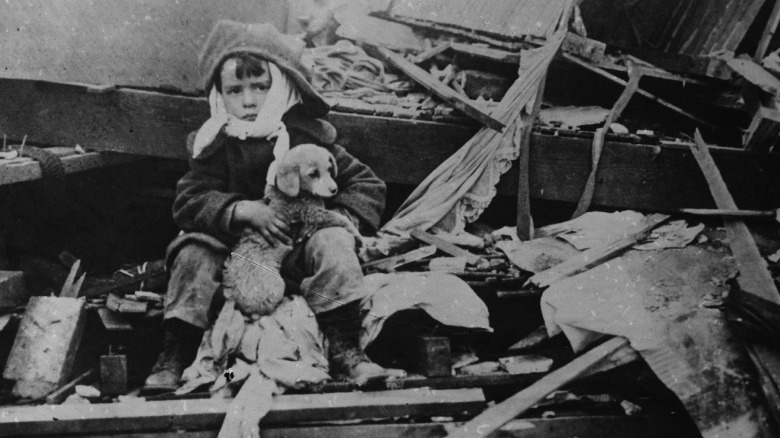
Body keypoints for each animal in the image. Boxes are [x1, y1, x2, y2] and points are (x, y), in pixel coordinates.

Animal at [224, 144, 362, 318]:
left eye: (330, 169)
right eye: (313, 174)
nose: (334, 189)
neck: (298, 195)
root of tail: (237, 303)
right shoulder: (313, 214)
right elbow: (340, 218)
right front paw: (359, 237)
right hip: (277, 287)